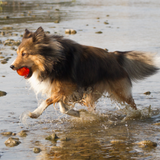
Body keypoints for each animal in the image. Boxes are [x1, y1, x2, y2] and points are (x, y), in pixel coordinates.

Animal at [10, 26, 159, 118]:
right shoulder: (62, 89)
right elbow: (62, 106)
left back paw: (136, 115)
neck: (53, 60)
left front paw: (35, 113)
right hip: (91, 94)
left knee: (133, 104)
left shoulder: (67, 87)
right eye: (17, 53)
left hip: (119, 92)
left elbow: (48, 100)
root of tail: (114, 56)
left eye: (24, 54)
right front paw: (76, 113)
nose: (11, 66)